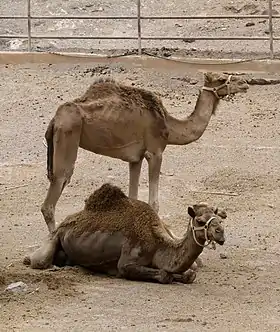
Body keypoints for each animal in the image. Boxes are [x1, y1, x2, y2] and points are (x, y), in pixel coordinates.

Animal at [24, 183, 228, 284]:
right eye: (200, 221)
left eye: (219, 218)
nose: (220, 233)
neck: (158, 243)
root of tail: (64, 223)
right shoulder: (127, 262)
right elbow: (164, 275)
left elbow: (189, 274)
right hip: (54, 237)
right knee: (40, 260)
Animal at [41, 71, 247, 232]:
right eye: (221, 79)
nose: (245, 83)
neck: (169, 126)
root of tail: (54, 120)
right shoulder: (154, 152)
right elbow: (153, 203)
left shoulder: (136, 158)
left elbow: (133, 198)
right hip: (68, 136)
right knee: (54, 194)